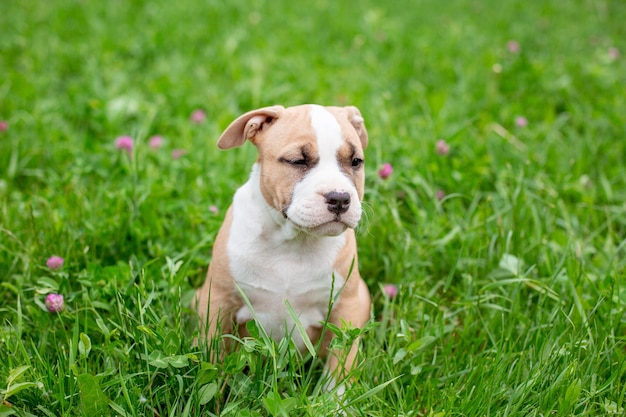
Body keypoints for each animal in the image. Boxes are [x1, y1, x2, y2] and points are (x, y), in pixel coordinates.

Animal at [194, 103, 370, 390]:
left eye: (356, 162)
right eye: (298, 161)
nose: (340, 198)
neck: (294, 242)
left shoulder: (347, 307)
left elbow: (341, 365)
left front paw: (335, 399)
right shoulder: (218, 302)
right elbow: (214, 356)